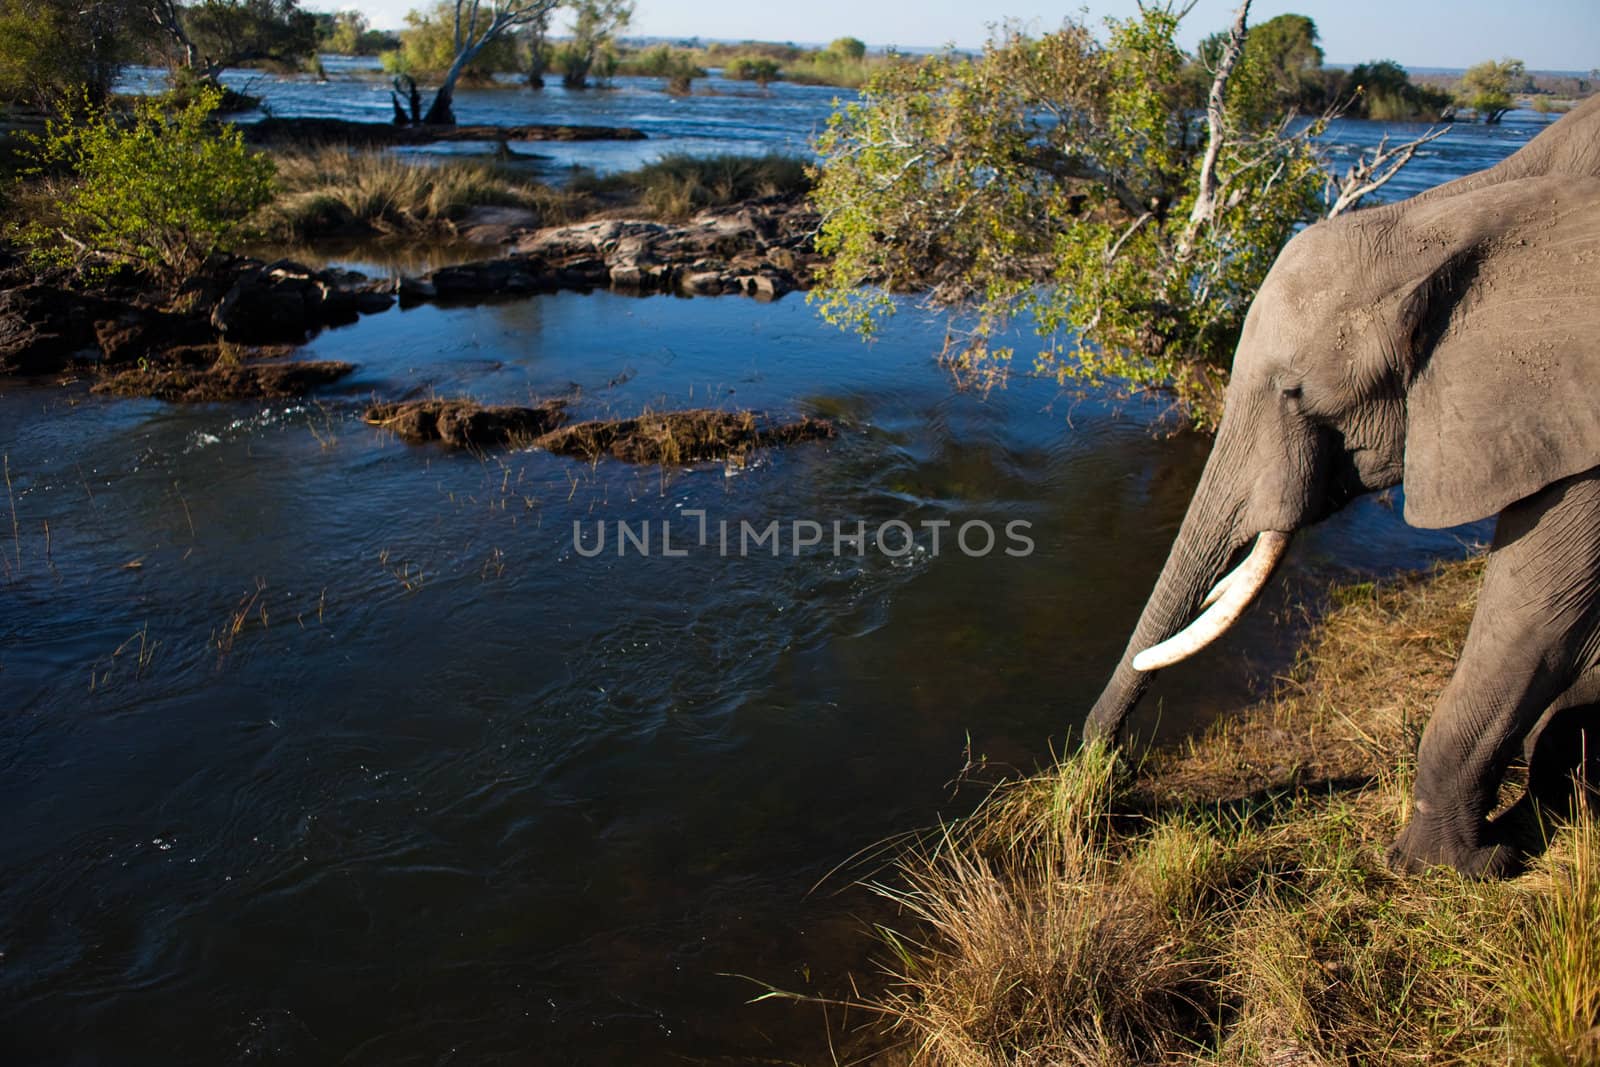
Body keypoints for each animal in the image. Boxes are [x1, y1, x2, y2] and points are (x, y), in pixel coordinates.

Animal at [1088, 93, 1600, 876]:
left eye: (1295, 392)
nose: (1103, 782)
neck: (1457, 212)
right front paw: (1535, 820)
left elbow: (1539, 606)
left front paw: (1456, 868)